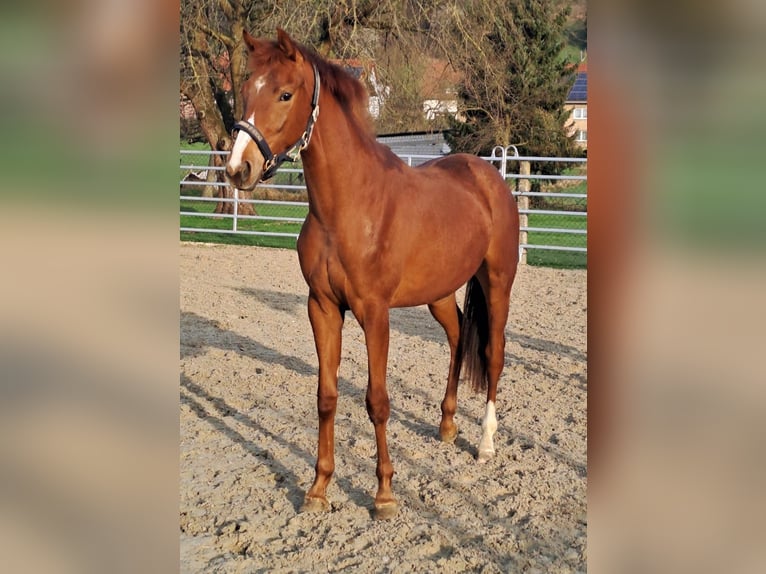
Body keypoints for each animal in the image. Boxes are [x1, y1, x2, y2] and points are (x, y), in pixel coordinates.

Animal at [224, 28, 520, 520]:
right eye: (245, 91)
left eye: (285, 93)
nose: (237, 169)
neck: (347, 207)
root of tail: (488, 174)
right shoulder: (323, 308)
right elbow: (326, 397)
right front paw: (318, 489)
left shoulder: (374, 314)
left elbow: (377, 401)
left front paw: (384, 494)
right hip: (439, 293)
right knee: (458, 337)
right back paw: (447, 424)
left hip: (496, 283)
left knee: (493, 354)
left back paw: (485, 443)